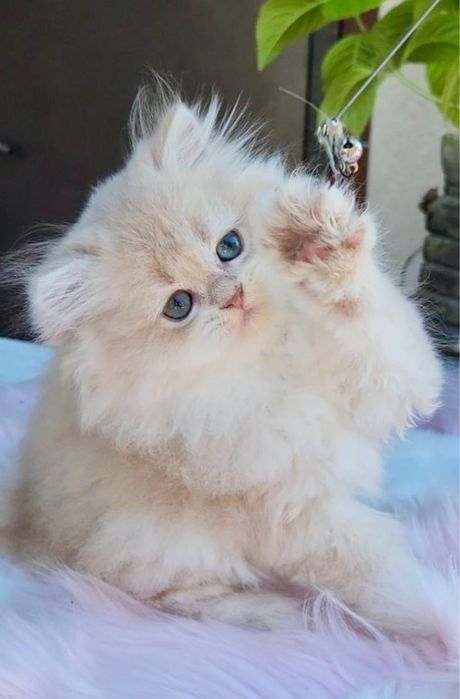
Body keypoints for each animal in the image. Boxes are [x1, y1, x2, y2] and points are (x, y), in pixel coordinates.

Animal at [8, 83, 444, 634]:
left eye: (229, 246)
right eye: (179, 305)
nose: (232, 296)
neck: (269, 362)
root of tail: (23, 516)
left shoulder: (394, 373)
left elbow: (367, 318)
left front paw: (320, 247)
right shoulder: (295, 514)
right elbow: (388, 574)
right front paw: (438, 617)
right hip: (155, 541)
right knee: (172, 596)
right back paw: (281, 614)